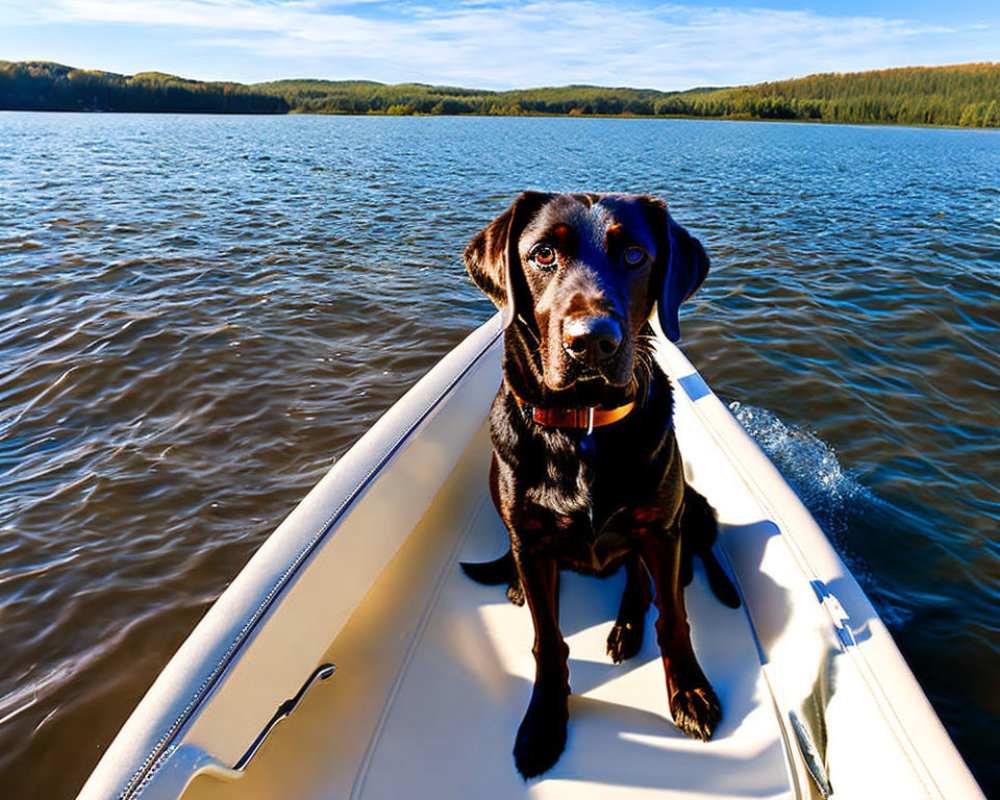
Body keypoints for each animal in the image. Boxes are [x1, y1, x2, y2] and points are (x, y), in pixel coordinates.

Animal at [464, 191, 740, 780]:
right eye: (543, 254)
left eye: (635, 255)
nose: (592, 342)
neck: (583, 428)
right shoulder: (529, 539)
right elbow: (548, 640)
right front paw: (545, 718)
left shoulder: (660, 528)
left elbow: (674, 618)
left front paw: (690, 691)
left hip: (682, 513)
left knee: (648, 577)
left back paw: (631, 625)